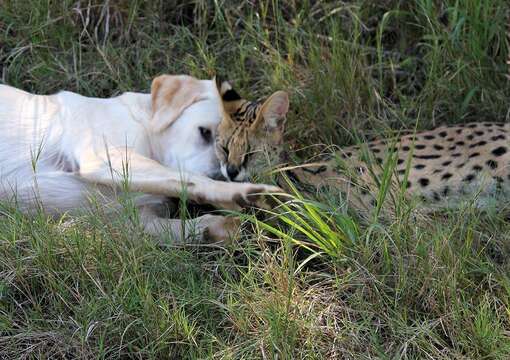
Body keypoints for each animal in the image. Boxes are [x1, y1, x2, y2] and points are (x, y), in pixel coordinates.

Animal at [0, 74, 278, 242]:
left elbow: (188, 226)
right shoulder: (106, 157)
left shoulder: (140, 221)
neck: (144, 122)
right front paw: (245, 193)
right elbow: (190, 180)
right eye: (205, 132)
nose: (227, 173)